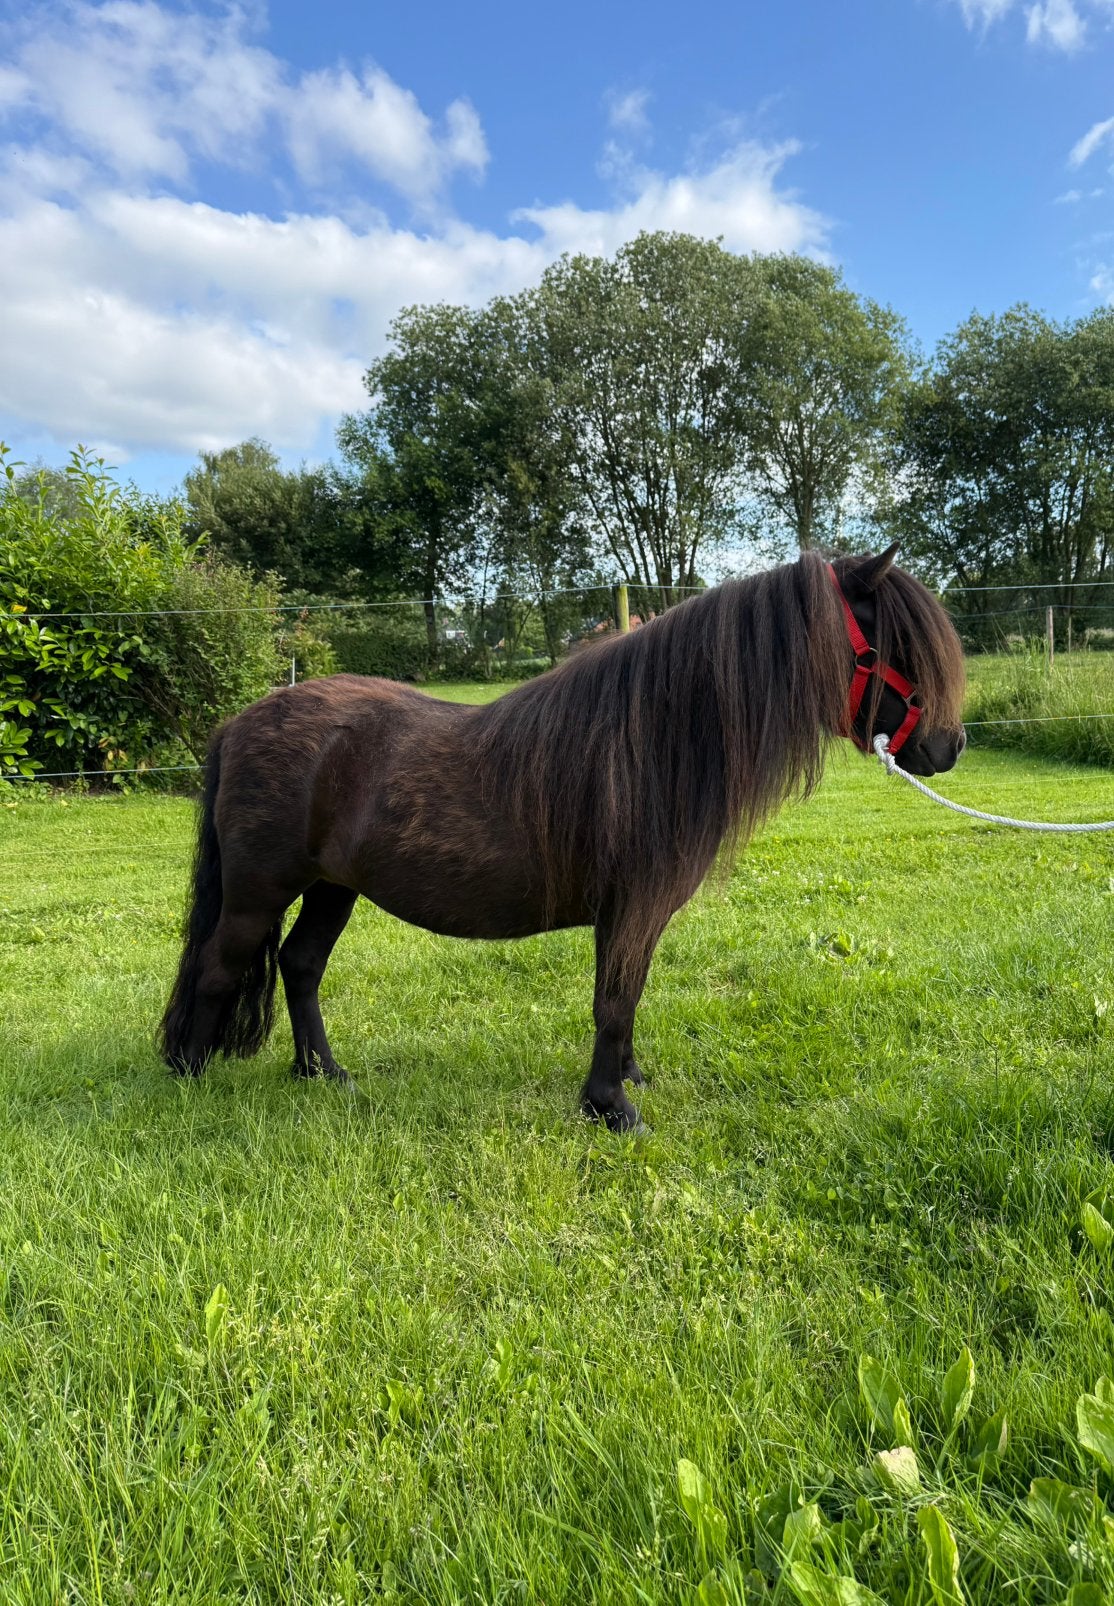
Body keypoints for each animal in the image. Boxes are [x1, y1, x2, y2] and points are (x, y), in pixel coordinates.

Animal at [159, 546, 966, 1132]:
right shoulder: (632, 907)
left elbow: (627, 997)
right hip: (258, 893)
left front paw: (628, 1080)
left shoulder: (638, 916)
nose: (948, 746)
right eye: (892, 645)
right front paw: (611, 1109)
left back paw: (322, 1073)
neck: (655, 742)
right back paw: (191, 1077)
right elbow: (613, 1000)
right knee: (220, 968)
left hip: (334, 887)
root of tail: (240, 722)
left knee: (299, 966)